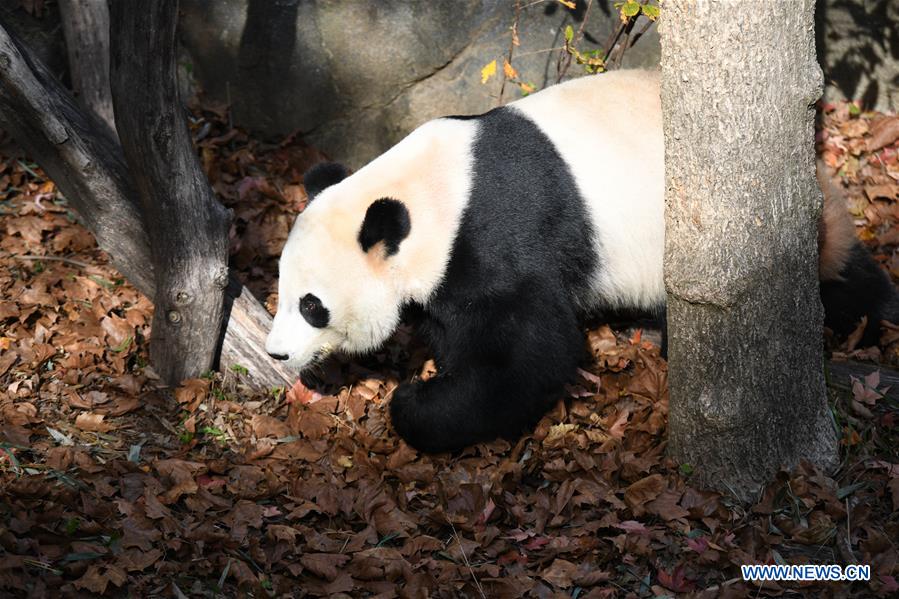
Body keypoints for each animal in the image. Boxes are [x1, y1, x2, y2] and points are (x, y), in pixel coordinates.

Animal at [266, 69, 899, 454]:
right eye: (282, 289)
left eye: (312, 305)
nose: (277, 352)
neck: (431, 191)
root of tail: (811, 169)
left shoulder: (499, 231)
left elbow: (532, 348)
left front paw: (419, 403)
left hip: (766, 229)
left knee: (836, 279)